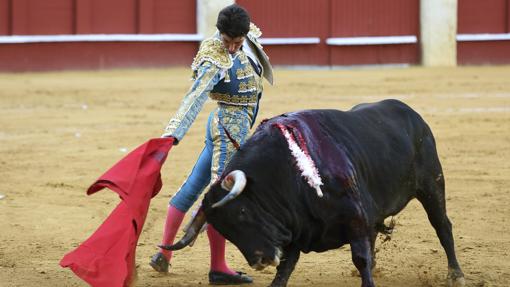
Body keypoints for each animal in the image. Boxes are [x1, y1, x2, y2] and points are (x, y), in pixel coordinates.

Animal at [162, 99, 466, 287]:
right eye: (225, 231)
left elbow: (360, 257)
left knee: (443, 226)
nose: (260, 261)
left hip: (432, 184)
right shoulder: (298, 228)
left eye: (243, 213)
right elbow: (285, 269)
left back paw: (456, 274)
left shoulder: (354, 218)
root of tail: (409, 112)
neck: (285, 175)